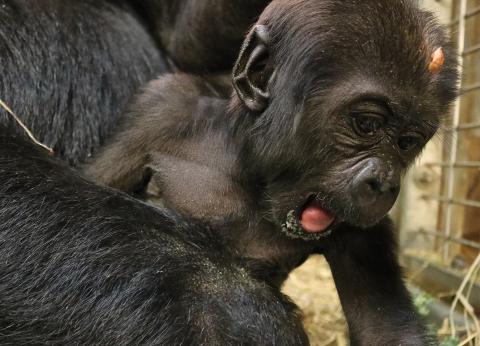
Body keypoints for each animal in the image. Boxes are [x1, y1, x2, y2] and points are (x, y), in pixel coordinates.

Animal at [86, 1, 458, 344]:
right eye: (366, 124)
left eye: (407, 143)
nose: (383, 182)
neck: (245, 160)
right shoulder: (161, 107)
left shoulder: (364, 231)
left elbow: (384, 329)